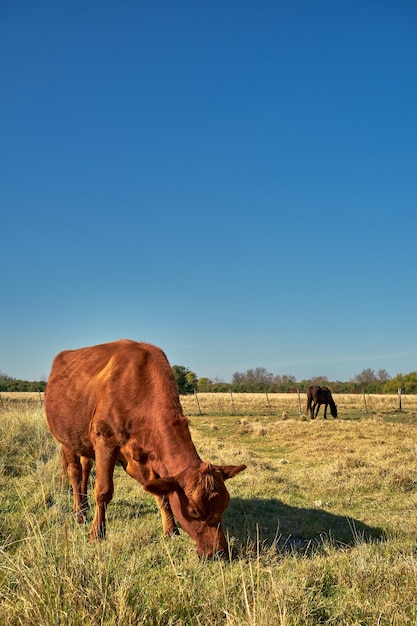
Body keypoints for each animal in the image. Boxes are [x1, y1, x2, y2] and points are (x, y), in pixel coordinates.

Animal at [44, 342, 247, 556]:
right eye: (193, 512)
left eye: (223, 506)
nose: (218, 552)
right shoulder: (105, 441)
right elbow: (103, 490)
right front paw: (97, 534)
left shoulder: (142, 459)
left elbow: (162, 493)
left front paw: (171, 530)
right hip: (66, 441)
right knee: (75, 474)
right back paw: (79, 515)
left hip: (84, 444)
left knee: (85, 470)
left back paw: (84, 508)